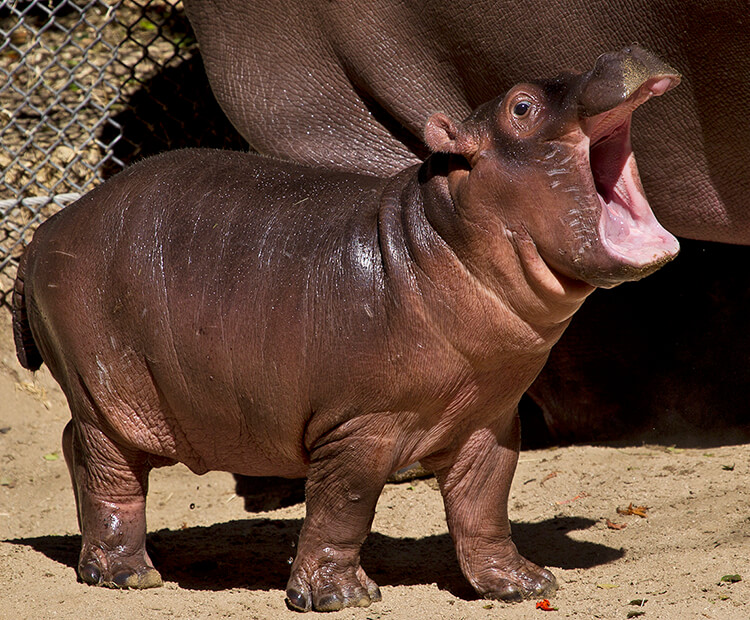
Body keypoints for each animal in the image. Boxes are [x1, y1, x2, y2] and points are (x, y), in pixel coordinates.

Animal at [13, 48, 680, 612]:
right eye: (521, 105)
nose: (620, 51)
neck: (437, 239)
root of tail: (45, 230)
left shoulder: (490, 418)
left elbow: (486, 503)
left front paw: (524, 583)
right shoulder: (359, 425)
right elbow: (343, 506)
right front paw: (340, 598)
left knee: (73, 445)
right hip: (105, 390)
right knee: (109, 469)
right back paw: (129, 575)